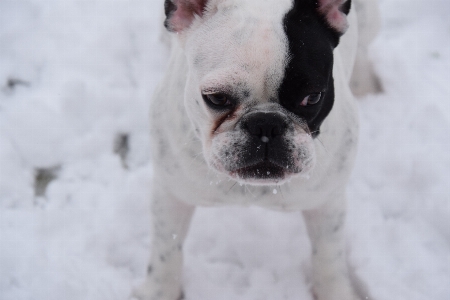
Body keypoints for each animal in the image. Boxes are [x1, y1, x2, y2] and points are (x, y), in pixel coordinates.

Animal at [134, 0, 380, 300]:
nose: (266, 124)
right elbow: (166, 250)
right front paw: (159, 292)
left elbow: (329, 255)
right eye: (216, 98)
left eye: (312, 97)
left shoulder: (326, 201)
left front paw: (335, 292)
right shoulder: (172, 194)